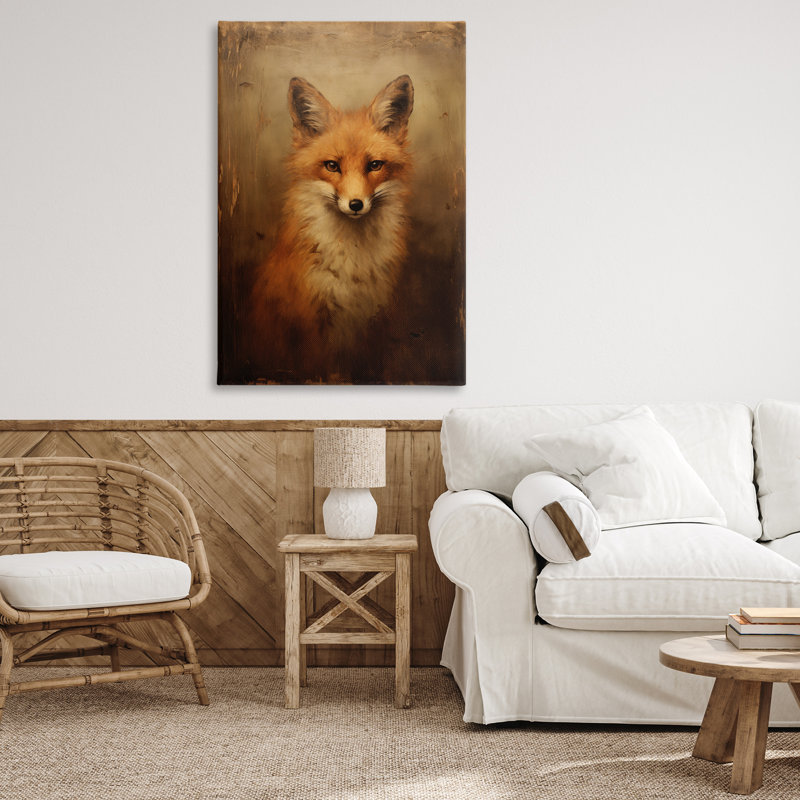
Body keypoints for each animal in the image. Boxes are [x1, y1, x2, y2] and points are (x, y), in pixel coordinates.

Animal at [249, 74, 414, 380]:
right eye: (332, 166)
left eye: (375, 165)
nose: (356, 204)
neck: (353, 261)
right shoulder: (311, 322)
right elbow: (322, 371)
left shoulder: (374, 318)